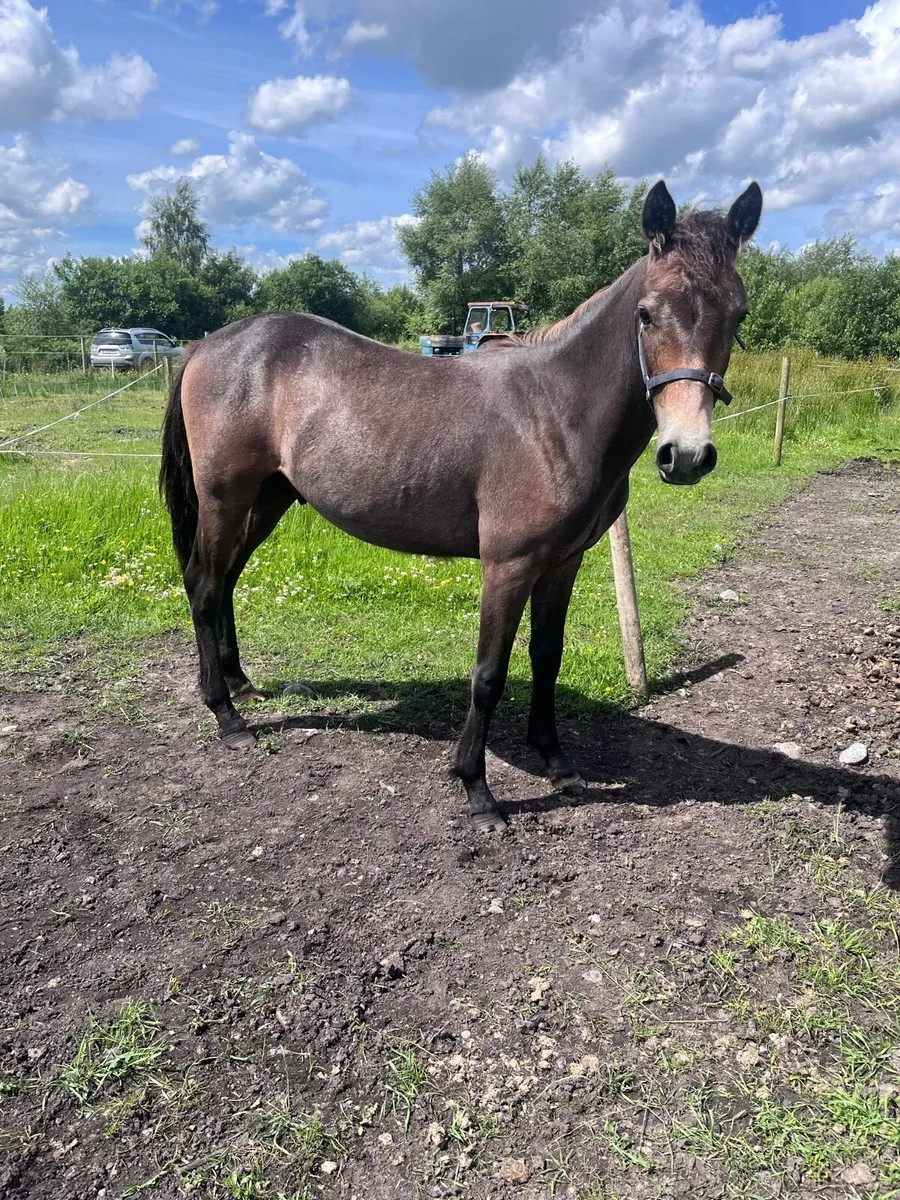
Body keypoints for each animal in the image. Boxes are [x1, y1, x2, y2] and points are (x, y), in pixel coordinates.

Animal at [160, 180, 762, 832]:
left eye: (737, 313)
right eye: (647, 313)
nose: (687, 455)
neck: (557, 412)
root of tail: (210, 344)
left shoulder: (563, 562)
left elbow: (546, 657)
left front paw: (556, 761)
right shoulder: (509, 565)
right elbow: (489, 674)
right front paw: (477, 790)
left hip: (268, 498)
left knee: (225, 580)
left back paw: (241, 685)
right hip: (225, 498)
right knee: (203, 584)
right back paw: (227, 716)